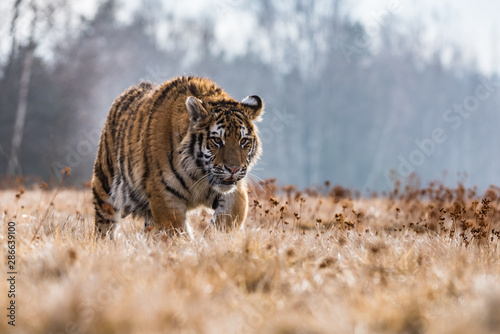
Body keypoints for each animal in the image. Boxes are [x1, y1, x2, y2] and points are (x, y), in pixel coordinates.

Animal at [92, 76, 266, 237]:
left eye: (243, 141)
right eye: (217, 140)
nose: (233, 169)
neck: (198, 172)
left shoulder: (234, 191)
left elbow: (229, 218)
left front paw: (215, 237)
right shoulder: (164, 195)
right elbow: (175, 230)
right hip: (105, 186)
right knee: (104, 225)